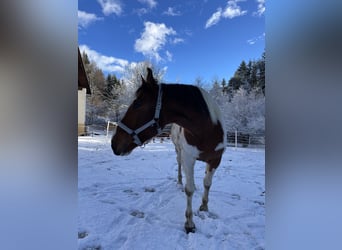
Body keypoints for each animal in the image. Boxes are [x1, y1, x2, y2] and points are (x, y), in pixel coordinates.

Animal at [111, 68, 226, 232]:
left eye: (138, 103)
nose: (114, 143)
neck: (207, 130)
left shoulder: (216, 160)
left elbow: (207, 183)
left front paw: (204, 207)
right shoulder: (188, 158)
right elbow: (189, 189)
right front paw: (189, 223)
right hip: (179, 152)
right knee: (179, 166)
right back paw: (179, 182)